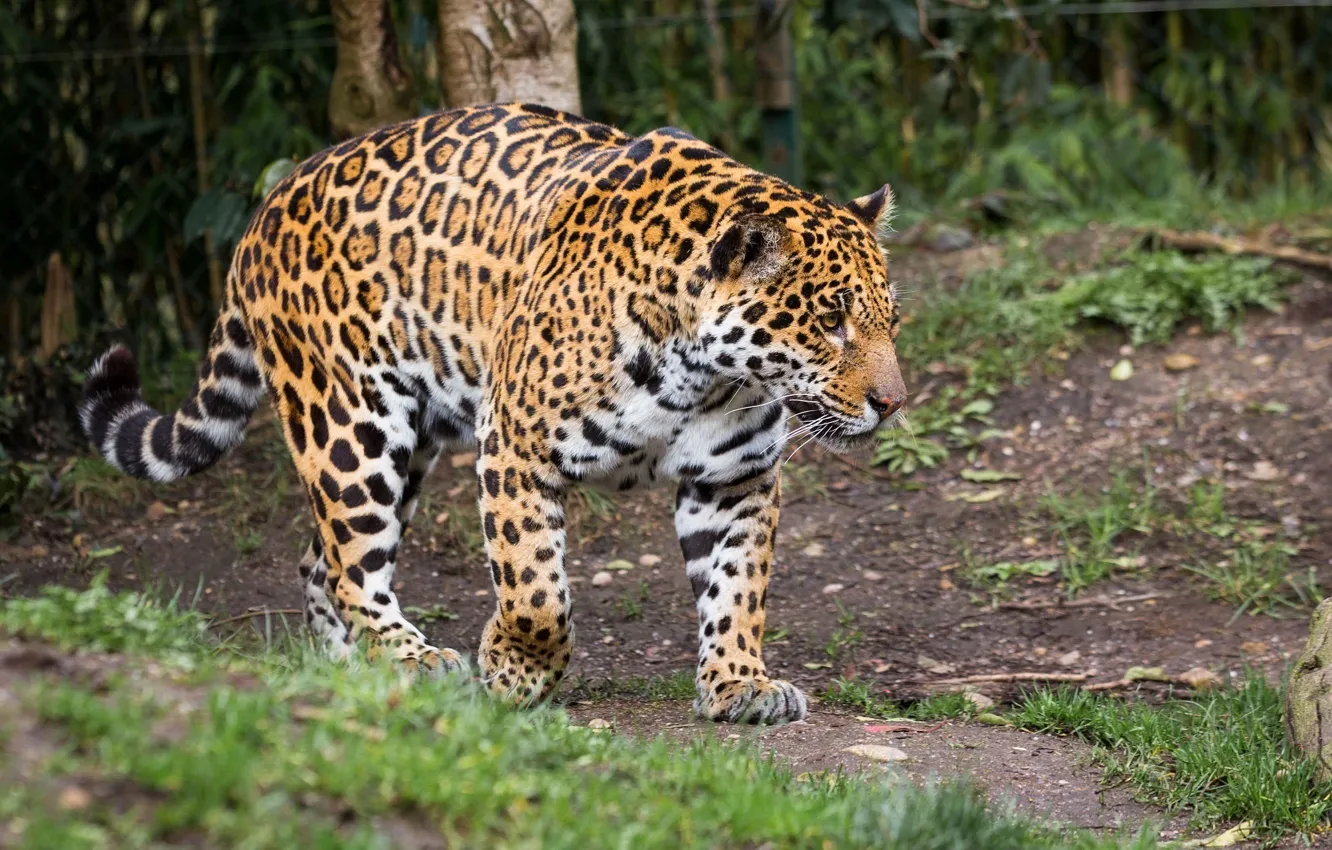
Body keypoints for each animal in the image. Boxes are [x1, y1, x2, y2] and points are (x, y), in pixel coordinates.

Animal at [79, 102, 907, 724]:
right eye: (831, 320)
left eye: (889, 320)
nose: (892, 403)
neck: (703, 374)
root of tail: (265, 208)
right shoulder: (515, 446)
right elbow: (536, 589)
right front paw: (513, 672)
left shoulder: (735, 478)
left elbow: (738, 588)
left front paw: (740, 684)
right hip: (351, 425)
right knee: (350, 562)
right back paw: (415, 657)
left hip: (407, 446)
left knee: (322, 560)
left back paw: (353, 673)